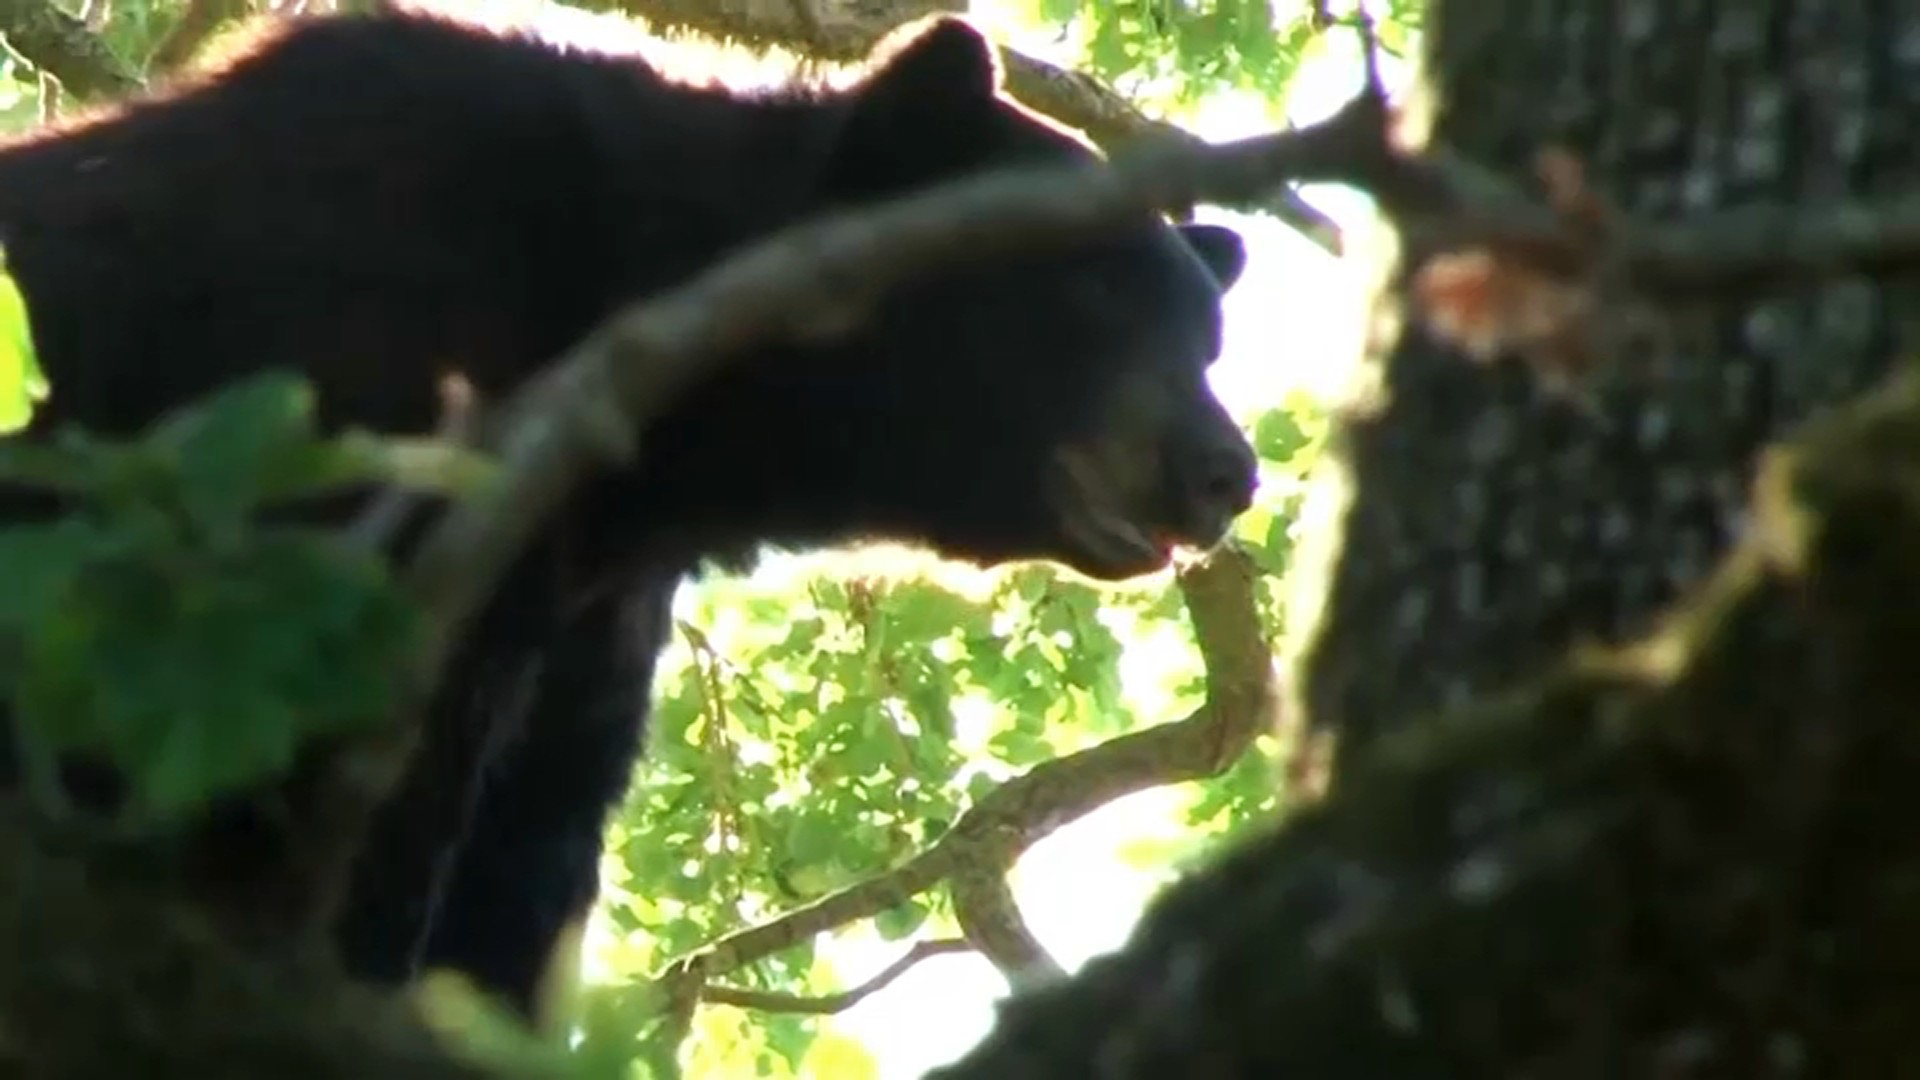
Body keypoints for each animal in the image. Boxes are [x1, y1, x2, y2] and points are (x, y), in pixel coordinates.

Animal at [0, 9, 1256, 1025]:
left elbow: (513, 874)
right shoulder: (336, 395)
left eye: (1205, 339)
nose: (1224, 471)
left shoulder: (583, 619)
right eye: (1092, 288)